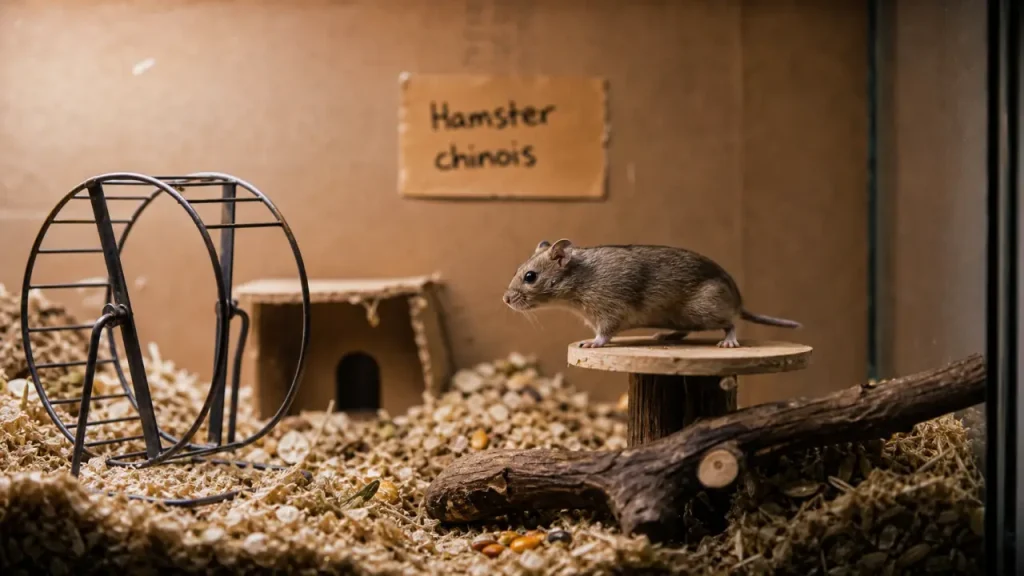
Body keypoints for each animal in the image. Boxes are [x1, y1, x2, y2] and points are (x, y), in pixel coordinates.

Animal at [502, 239, 801, 348]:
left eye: (530, 277)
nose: (505, 299)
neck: (578, 279)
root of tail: (739, 301)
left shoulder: (609, 313)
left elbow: (603, 335)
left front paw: (591, 343)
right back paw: (665, 336)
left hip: (703, 310)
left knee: (731, 323)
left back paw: (728, 343)